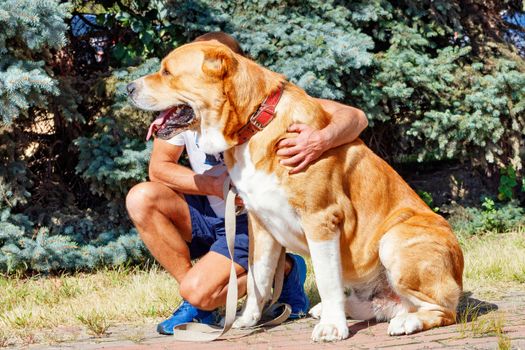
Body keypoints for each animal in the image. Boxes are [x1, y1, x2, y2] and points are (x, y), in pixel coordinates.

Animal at [127, 40, 462, 342]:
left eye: (167, 72)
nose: (128, 88)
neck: (254, 125)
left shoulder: (321, 219)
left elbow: (326, 279)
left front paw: (332, 329)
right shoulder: (260, 224)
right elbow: (259, 278)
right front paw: (246, 319)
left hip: (394, 240)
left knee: (444, 310)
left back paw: (404, 322)